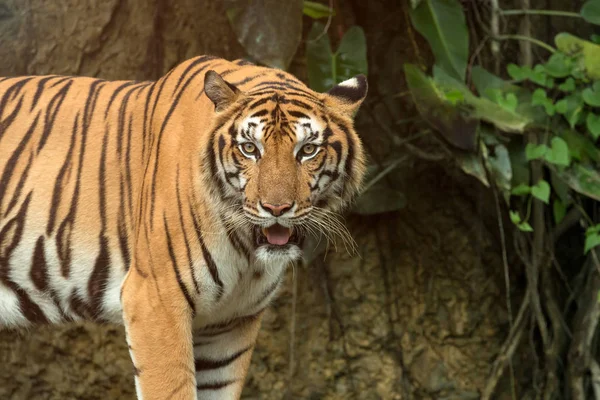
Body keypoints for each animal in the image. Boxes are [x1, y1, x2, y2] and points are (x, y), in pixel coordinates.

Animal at [0, 54, 368, 398]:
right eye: (250, 149)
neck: (247, 253)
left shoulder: (231, 324)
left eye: (308, 150)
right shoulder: (155, 300)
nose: (276, 208)